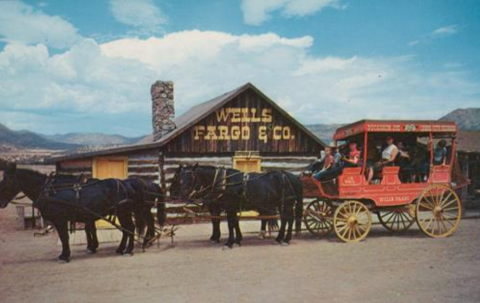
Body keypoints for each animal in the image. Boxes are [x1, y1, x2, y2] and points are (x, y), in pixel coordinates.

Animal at [171, 165, 302, 248]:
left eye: (191, 178)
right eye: (180, 178)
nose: (179, 194)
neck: (221, 183)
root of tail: (291, 176)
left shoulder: (228, 206)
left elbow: (229, 224)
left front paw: (229, 242)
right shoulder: (227, 208)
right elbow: (231, 222)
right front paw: (236, 240)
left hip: (287, 204)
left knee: (289, 219)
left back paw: (286, 239)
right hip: (281, 204)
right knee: (284, 219)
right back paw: (279, 238)